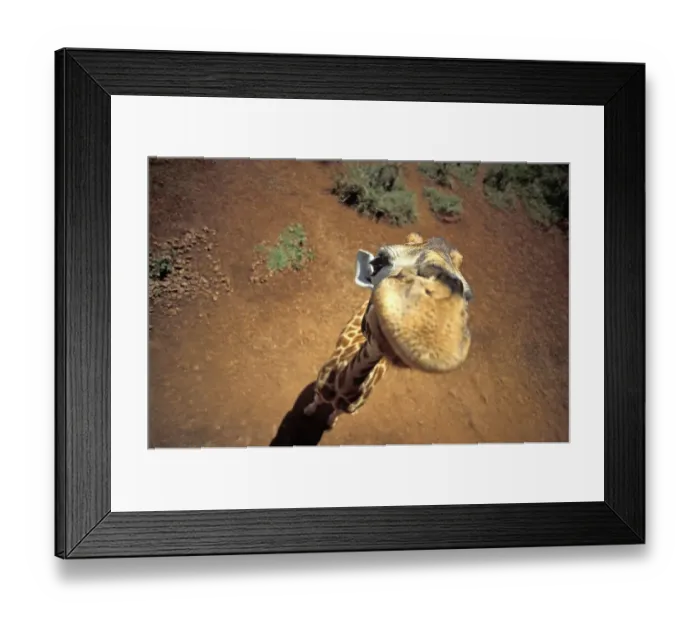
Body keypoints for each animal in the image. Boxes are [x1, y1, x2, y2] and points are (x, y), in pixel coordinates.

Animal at [303, 232, 474, 430]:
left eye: (468, 296)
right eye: (379, 262)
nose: (422, 330)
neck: (342, 389)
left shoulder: (349, 408)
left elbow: (336, 414)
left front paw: (330, 423)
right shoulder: (319, 386)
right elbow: (316, 400)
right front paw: (308, 411)